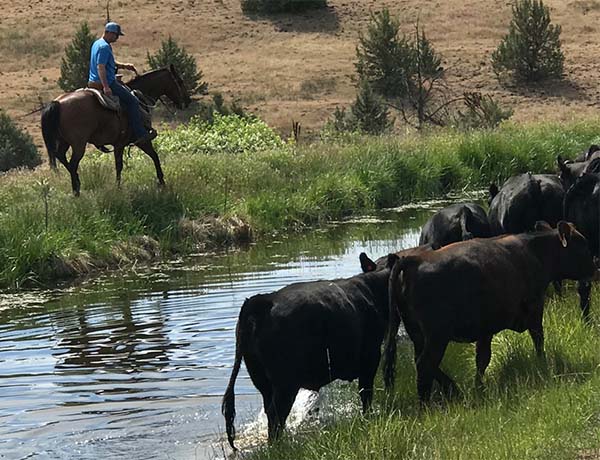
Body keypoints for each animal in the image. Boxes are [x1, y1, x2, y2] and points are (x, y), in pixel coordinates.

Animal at [41, 63, 190, 195]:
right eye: (180, 81)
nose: (187, 101)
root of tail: (57, 103)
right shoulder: (138, 140)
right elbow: (151, 157)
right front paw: (161, 182)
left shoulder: (119, 144)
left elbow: (122, 164)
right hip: (79, 145)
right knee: (72, 164)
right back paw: (76, 191)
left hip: (64, 141)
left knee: (60, 156)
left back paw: (77, 182)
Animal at [220, 258, 394, 450]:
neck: (373, 288)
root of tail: (262, 300)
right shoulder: (370, 357)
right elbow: (366, 393)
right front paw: (368, 419)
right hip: (285, 383)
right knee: (276, 415)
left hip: (261, 379)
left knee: (269, 411)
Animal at [382, 221, 596, 400]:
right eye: (583, 245)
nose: (595, 268)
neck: (535, 252)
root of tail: (414, 260)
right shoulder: (535, 308)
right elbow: (538, 339)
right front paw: (542, 364)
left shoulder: (485, 329)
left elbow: (482, 359)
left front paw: (479, 387)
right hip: (437, 336)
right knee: (425, 364)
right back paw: (426, 404)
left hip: (417, 334)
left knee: (423, 363)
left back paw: (454, 389)